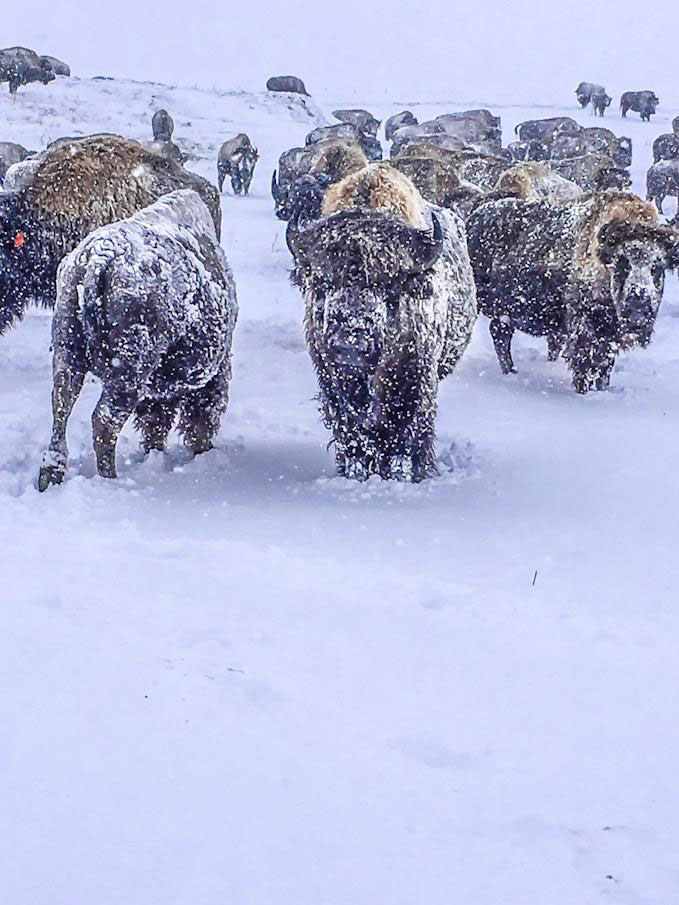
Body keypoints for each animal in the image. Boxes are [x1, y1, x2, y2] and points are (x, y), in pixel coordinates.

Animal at [39, 187, 239, 490]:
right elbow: (198, 416)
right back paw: (110, 478)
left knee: (61, 407)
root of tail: (98, 257)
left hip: (68, 356)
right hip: (128, 375)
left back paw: (50, 474)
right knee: (104, 420)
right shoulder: (213, 373)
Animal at [288, 166, 478, 484]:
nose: (350, 341)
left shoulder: (415, 381)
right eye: (324, 283)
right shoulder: (331, 381)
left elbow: (403, 435)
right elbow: (351, 435)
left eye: (390, 285)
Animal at [468, 191, 679, 392]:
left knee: (500, 333)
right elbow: (583, 369)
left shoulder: (610, 339)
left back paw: (511, 371)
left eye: (657, 268)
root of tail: (474, 218)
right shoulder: (584, 332)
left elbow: (604, 370)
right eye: (622, 264)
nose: (638, 313)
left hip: (504, 312)